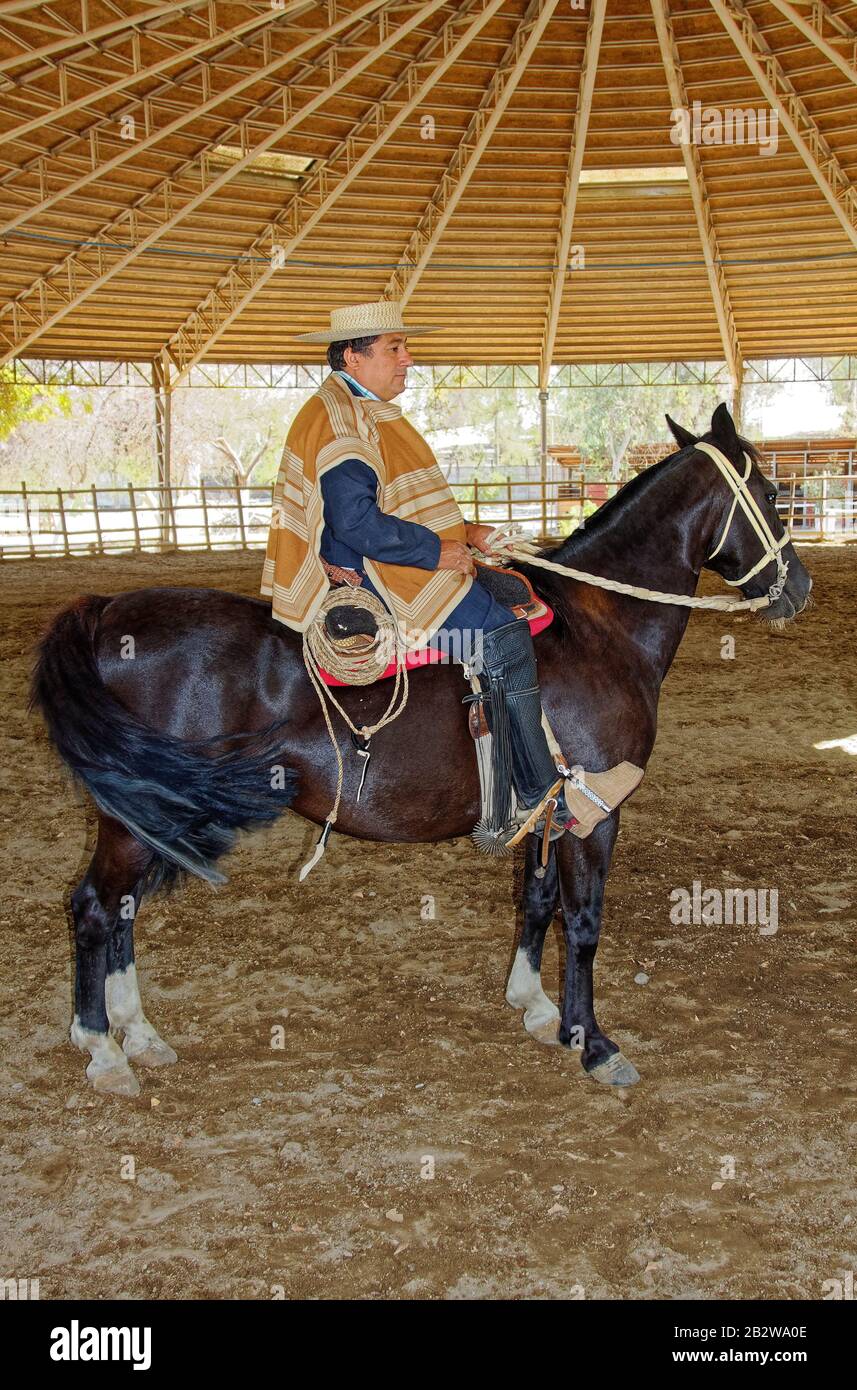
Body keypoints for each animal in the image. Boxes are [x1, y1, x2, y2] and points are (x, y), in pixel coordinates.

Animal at [31, 405, 811, 1095]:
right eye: (774, 493)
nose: (797, 588)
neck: (600, 627)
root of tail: (107, 611)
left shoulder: (543, 809)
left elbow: (537, 900)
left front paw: (534, 1006)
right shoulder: (594, 808)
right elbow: (584, 921)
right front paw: (593, 1043)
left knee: (121, 908)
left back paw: (138, 1034)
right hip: (138, 820)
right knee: (96, 906)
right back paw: (104, 1049)